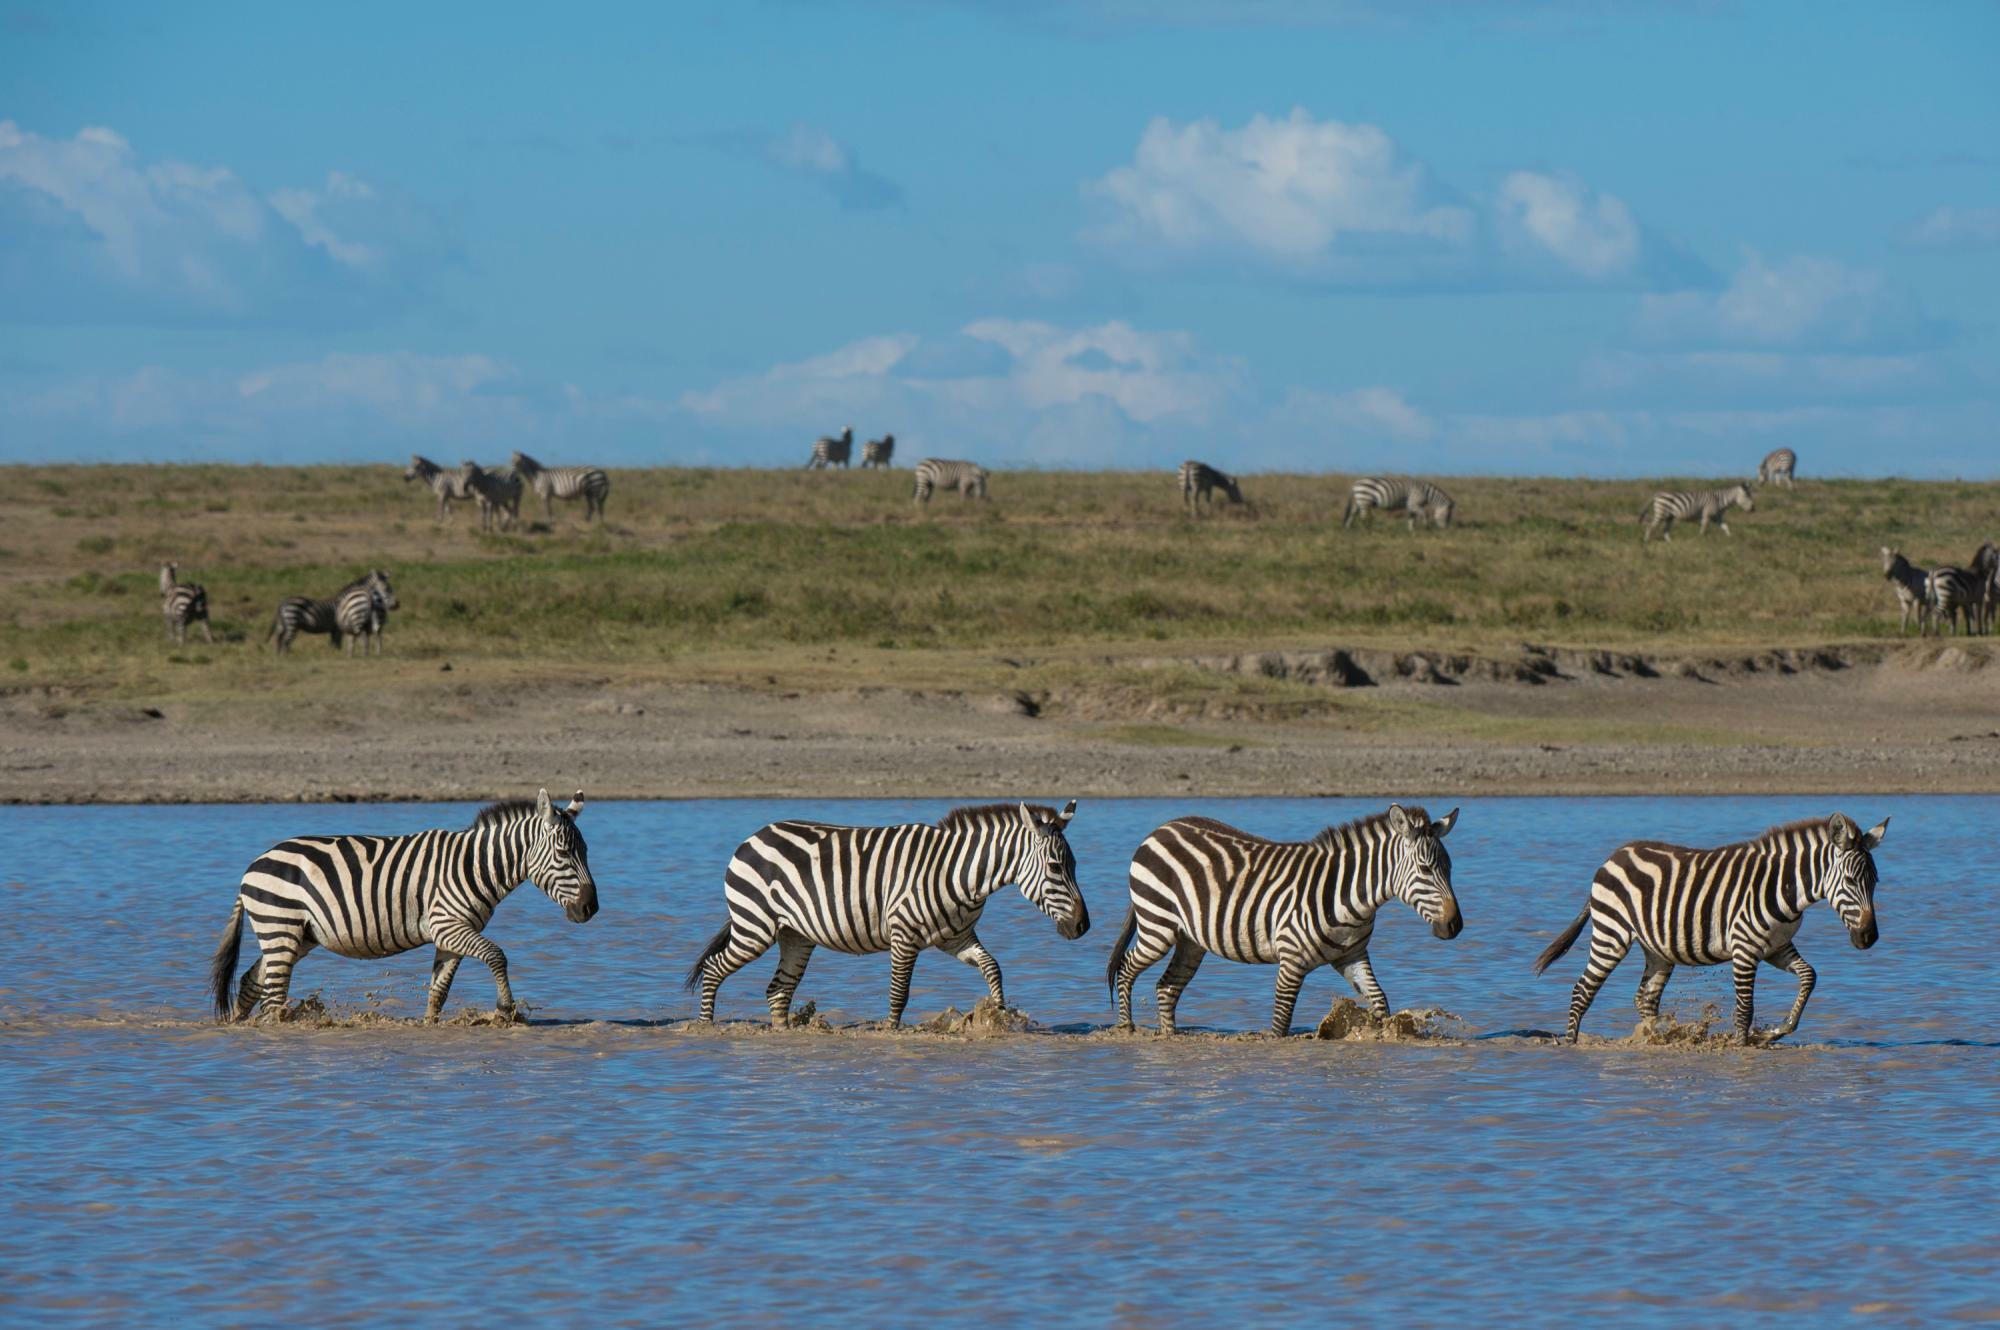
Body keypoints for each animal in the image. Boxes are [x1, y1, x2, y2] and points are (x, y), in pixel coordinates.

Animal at [214, 788, 600, 1024]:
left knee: (251, 981)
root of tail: (255, 863)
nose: (591, 909)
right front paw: (505, 1011)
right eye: (563, 853)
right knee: (272, 996)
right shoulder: (448, 924)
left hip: (297, 935)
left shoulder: (453, 934)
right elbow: (497, 955)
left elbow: (439, 990)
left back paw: (234, 1027)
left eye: (586, 852)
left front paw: (429, 1025)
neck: (475, 865)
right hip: (279, 926)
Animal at [688, 800, 1096, 1024]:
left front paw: (998, 1017)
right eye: (1056, 868)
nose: (1083, 926)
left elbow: (992, 968)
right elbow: (899, 993)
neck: (960, 872)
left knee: (778, 990)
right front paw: (891, 1032)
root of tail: (754, 835)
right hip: (754, 927)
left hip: (795, 934)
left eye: (1075, 865)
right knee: (714, 968)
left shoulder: (956, 937)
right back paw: (704, 1028)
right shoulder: (904, 936)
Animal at [1104, 800, 1464, 1040]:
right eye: (1426, 869)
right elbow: (1280, 1023)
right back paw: (1126, 1029)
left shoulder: (1352, 954)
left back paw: (1170, 1038)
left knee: (1167, 986)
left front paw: (1383, 1035)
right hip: (1158, 926)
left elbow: (1379, 999)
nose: (1455, 926)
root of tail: (1160, 829)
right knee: (1126, 967)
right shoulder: (1291, 960)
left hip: (1190, 940)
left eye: (1449, 868)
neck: (1350, 896)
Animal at [1528, 808, 1888, 1048]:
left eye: (1875, 882)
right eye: (1851, 881)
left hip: (1656, 948)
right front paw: (1742, 1048)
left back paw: (1657, 1039)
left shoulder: (1776, 947)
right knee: (1583, 989)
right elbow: (1745, 1008)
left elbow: (1809, 976)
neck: (1784, 889)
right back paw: (1572, 1044)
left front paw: (1775, 1031)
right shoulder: (1745, 950)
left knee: (1645, 998)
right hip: (1611, 934)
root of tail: (1612, 857)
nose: (1869, 938)